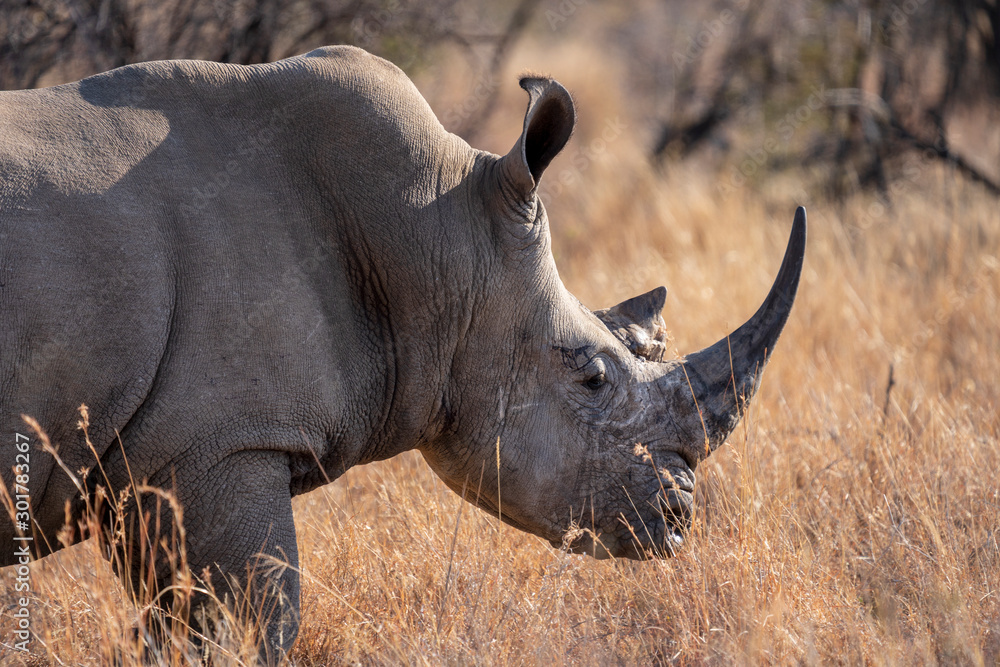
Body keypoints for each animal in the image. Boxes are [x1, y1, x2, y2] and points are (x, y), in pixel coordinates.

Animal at [0, 46, 805, 662]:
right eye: (592, 376)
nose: (681, 511)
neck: (438, 233)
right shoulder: (215, 445)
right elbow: (247, 625)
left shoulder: (164, 460)